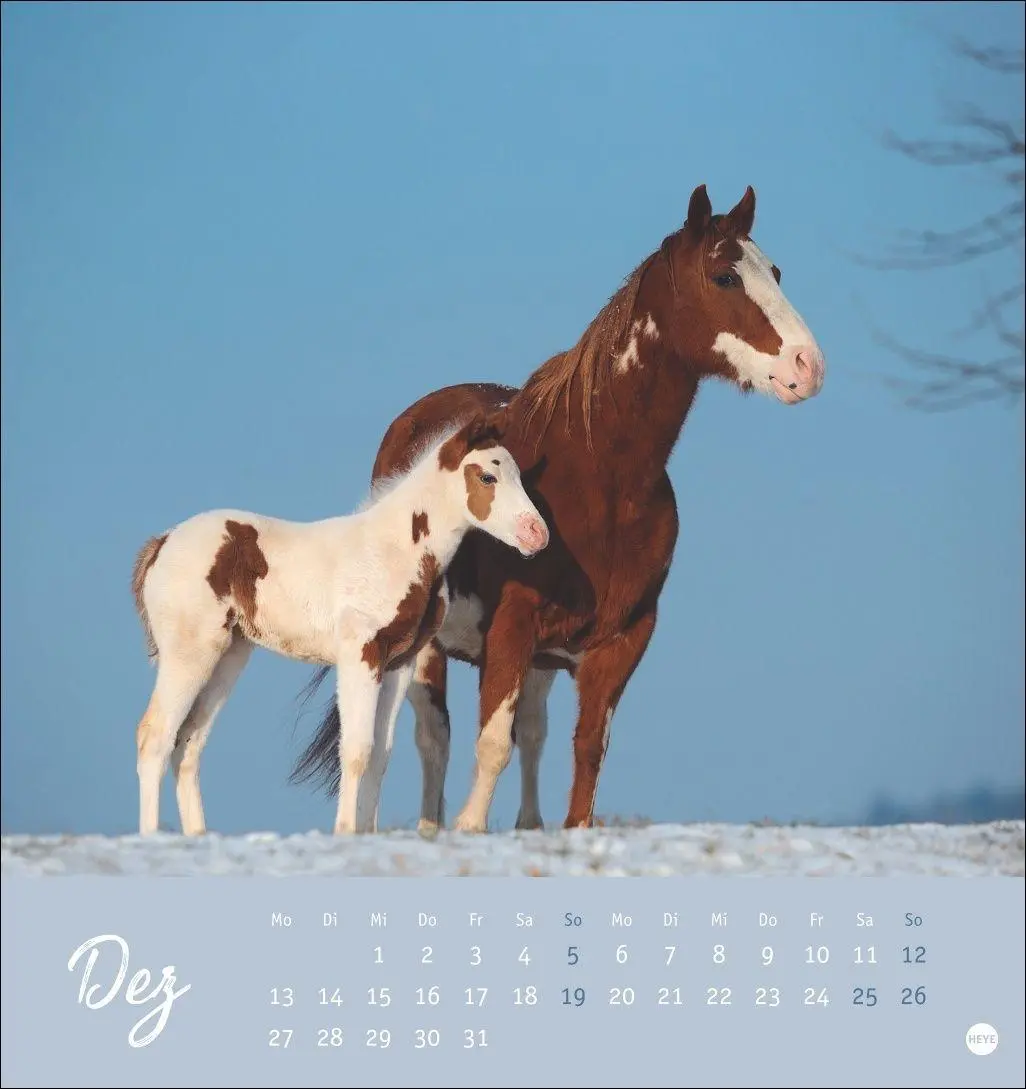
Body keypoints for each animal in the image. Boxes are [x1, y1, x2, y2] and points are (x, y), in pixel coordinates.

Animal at [130, 412, 549, 837]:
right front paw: (345, 830)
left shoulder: (398, 665)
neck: (396, 549)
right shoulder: (359, 654)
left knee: (188, 742)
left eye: (518, 475)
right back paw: (151, 835)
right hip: (190, 653)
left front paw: (365, 832)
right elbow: (356, 749)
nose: (538, 535)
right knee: (155, 735)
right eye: (488, 477)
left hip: (229, 655)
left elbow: (381, 753)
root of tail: (162, 542)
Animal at [291, 183, 826, 834]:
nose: (808, 366)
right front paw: (469, 828)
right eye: (725, 276)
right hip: (428, 651)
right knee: (432, 741)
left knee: (532, 734)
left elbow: (585, 751)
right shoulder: (511, 630)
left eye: (774, 272)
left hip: (543, 661)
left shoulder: (619, 642)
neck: (600, 477)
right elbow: (489, 744)